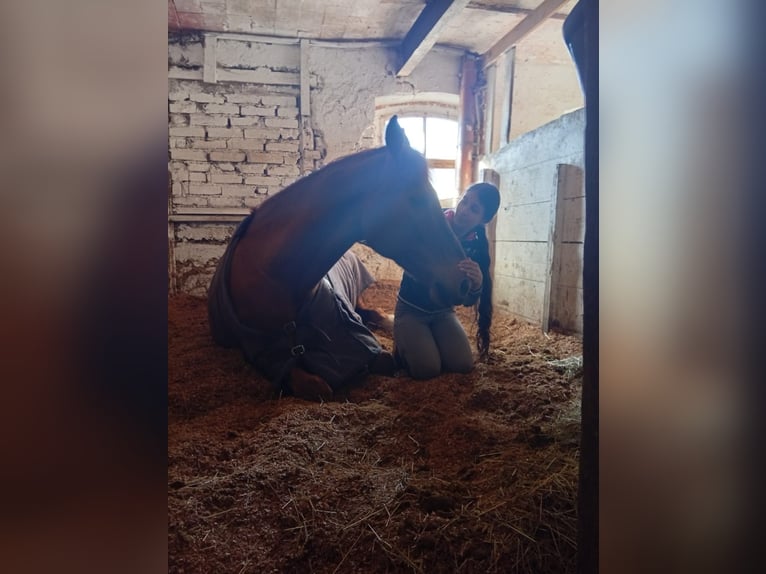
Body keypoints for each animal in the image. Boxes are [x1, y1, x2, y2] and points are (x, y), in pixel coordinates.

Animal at [207, 116, 470, 400]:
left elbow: (384, 358)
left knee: (373, 312)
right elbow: (315, 385)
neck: (277, 278)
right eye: (418, 199)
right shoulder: (265, 355)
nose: (464, 282)